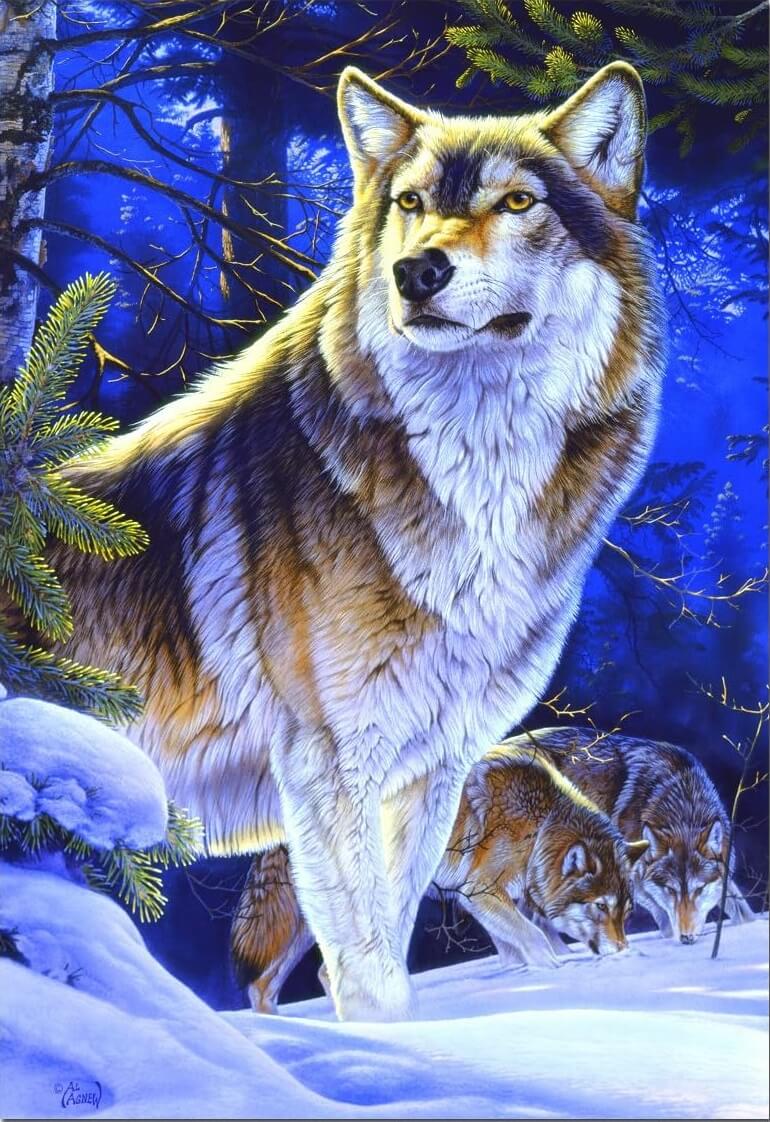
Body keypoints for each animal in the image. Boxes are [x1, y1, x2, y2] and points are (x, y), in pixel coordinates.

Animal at [232, 743, 648, 1013]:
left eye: (627, 912)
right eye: (600, 906)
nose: (623, 950)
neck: (539, 824)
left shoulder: (492, 902)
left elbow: (521, 945)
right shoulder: (481, 891)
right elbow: (535, 939)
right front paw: (555, 973)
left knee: (263, 986)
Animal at [522, 727, 755, 943]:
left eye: (699, 889)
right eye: (670, 890)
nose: (686, 938)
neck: (682, 808)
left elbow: (740, 907)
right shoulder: (634, 879)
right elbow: (663, 915)